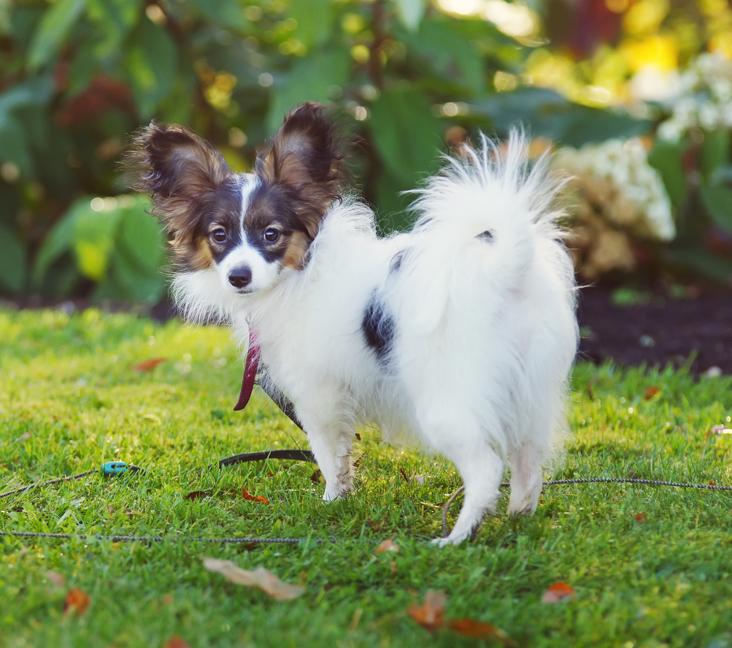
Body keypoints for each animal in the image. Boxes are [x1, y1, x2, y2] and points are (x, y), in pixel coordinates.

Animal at [130, 102, 576, 548]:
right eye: (219, 235)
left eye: (271, 234)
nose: (238, 276)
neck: (299, 274)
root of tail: (505, 269)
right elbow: (343, 454)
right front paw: (344, 496)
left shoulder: (318, 395)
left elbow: (328, 453)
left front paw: (331, 500)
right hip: (529, 393)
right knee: (528, 462)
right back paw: (520, 517)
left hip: (447, 401)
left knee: (487, 468)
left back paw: (456, 537)